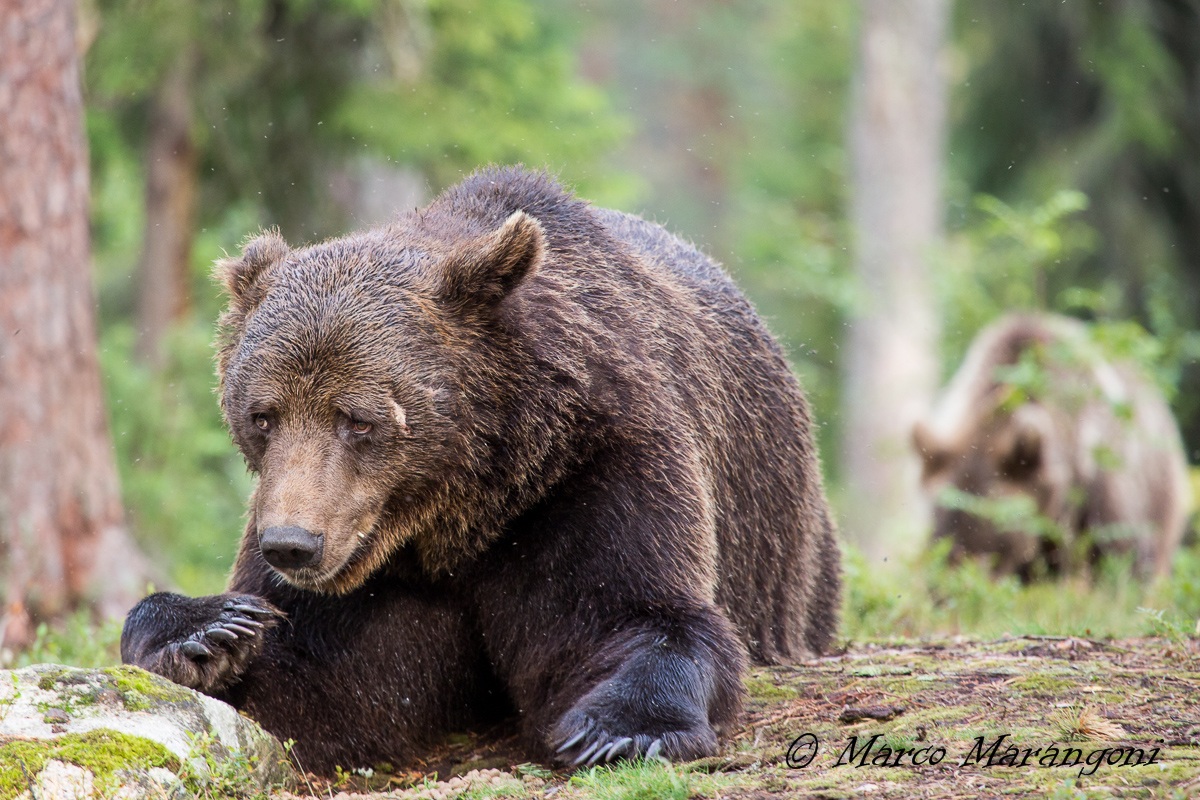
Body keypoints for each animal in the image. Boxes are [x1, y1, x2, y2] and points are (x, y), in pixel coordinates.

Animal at [121, 166, 842, 773]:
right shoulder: (375, 574)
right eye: (263, 414)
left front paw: (619, 728)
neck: (461, 512)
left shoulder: (590, 471)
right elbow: (318, 684)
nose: (291, 545)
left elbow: (632, 612)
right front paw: (206, 631)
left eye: (359, 419)